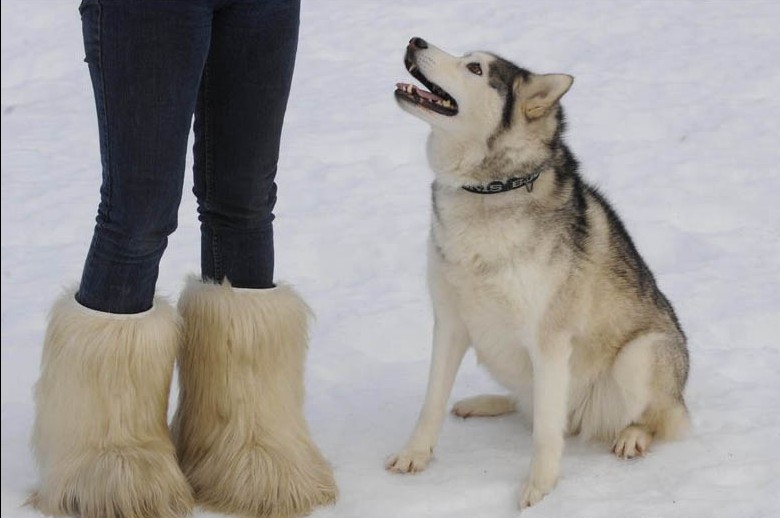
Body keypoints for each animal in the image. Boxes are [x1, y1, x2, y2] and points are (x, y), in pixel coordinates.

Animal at [386, 38, 688, 510]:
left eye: (474, 69)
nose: (415, 41)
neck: (489, 190)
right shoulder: (450, 322)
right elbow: (431, 402)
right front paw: (415, 455)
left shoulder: (549, 341)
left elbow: (546, 431)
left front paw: (540, 487)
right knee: (528, 404)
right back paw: (485, 403)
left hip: (640, 357)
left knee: (657, 419)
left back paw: (632, 436)